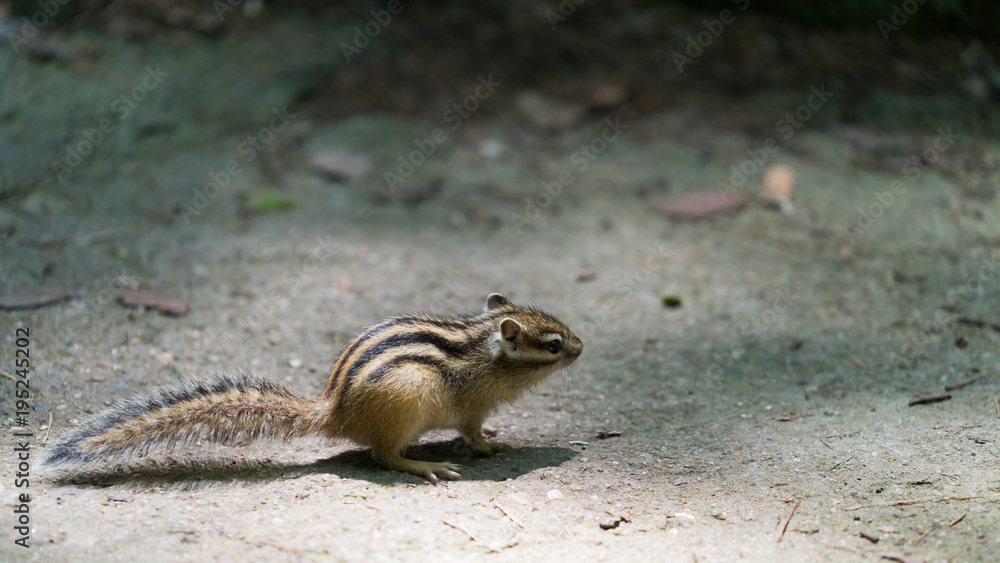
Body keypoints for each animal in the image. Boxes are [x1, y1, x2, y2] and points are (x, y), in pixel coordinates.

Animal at [45, 293, 583, 482]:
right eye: (554, 344)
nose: (582, 347)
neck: (485, 352)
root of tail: (335, 411)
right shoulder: (471, 405)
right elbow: (471, 432)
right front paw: (490, 447)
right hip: (407, 402)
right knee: (382, 456)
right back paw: (423, 465)